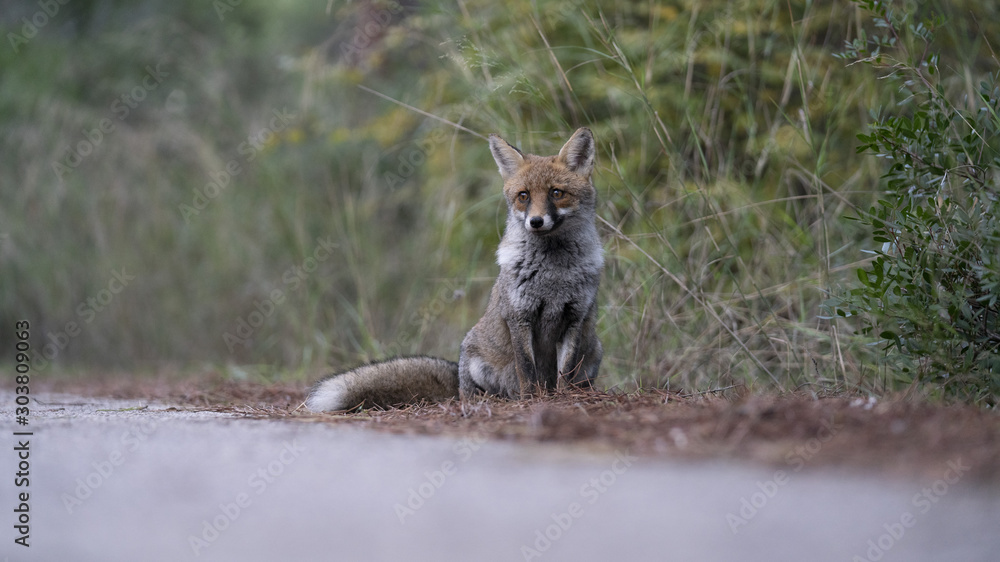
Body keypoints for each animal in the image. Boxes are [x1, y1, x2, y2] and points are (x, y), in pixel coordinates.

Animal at [305, 127, 603, 412]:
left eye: (556, 193)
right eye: (524, 196)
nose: (536, 221)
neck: (553, 273)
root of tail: (457, 379)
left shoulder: (575, 317)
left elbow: (566, 373)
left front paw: (563, 398)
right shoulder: (519, 317)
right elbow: (527, 371)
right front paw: (532, 400)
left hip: (595, 349)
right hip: (476, 365)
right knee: (480, 392)